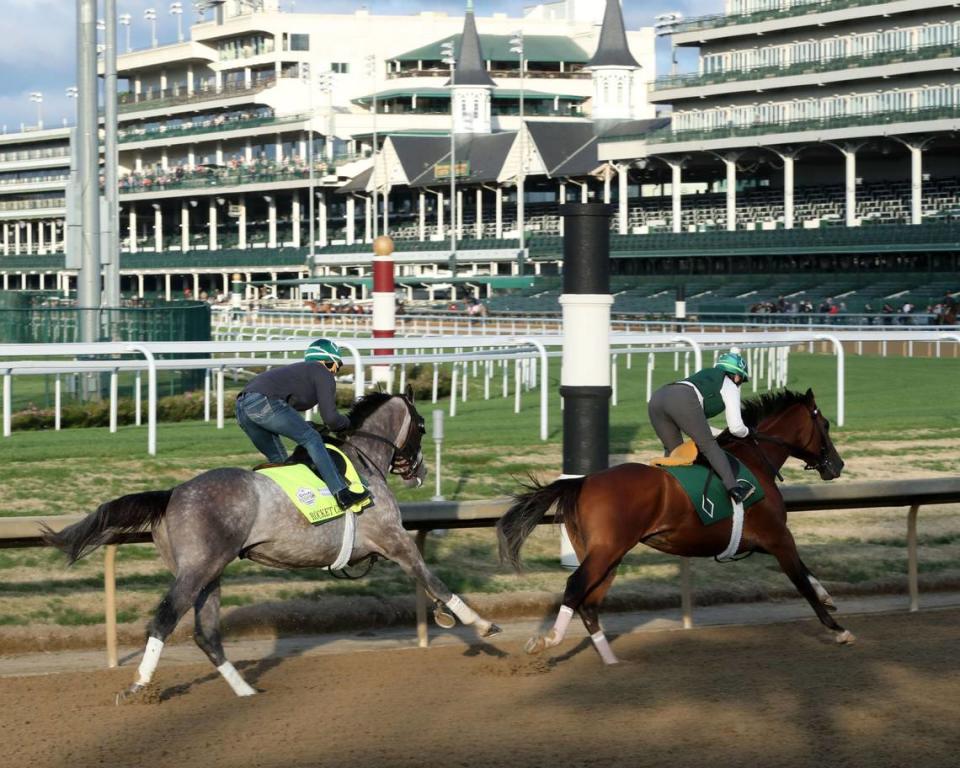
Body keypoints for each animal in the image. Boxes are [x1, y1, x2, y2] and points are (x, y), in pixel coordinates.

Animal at [43, 392, 502, 704]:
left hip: (211, 573)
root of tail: (173, 493)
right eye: (421, 425)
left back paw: (246, 691)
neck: (363, 461)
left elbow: (428, 584)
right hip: (197, 570)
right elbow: (433, 580)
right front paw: (483, 627)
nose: (419, 470)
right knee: (164, 620)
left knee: (206, 634)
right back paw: (139, 684)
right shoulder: (395, 539)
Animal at [498, 390, 852, 664]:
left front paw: (829, 598)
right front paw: (838, 629)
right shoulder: (777, 537)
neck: (753, 462)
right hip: (606, 550)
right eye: (824, 424)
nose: (837, 465)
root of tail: (582, 481)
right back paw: (548, 640)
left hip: (605, 554)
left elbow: (807, 572)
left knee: (590, 603)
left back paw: (611, 661)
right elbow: (801, 581)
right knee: (574, 587)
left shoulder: (762, 542)